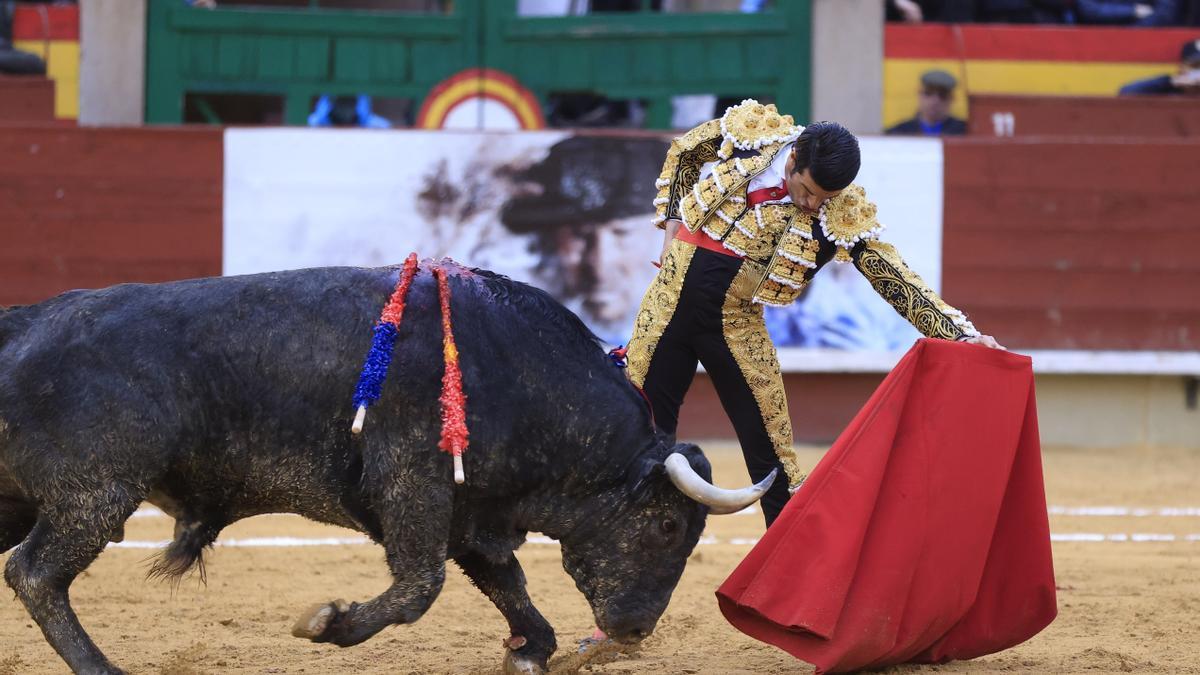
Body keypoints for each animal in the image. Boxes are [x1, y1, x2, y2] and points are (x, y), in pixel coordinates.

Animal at [0, 263, 772, 672]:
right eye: (668, 526)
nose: (636, 631)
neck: (515, 371)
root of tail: (24, 322)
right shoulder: (412, 486)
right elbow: (419, 587)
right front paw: (325, 622)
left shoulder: (470, 511)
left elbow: (508, 586)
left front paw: (531, 648)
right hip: (96, 495)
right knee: (34, 573)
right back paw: (100, 666)